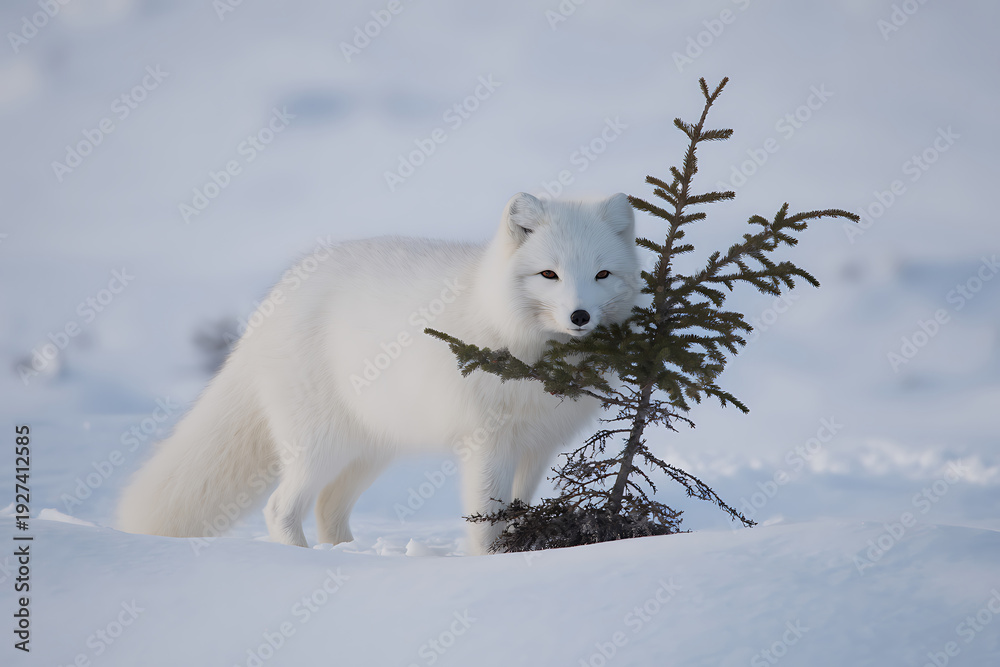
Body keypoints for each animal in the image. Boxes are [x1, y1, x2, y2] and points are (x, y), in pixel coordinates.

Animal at [117, 192, 640, 555]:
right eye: (549, 274)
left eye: (602, 275)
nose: (579, 316)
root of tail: (279, 294)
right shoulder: (486, 444)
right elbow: (485, 521)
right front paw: (488, 563)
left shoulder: (536, 447)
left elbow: (516, 513)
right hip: (320, 445)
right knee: (281, 507)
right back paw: (305, 561)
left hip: (370, 447)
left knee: (328, 507)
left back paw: (349, 556)